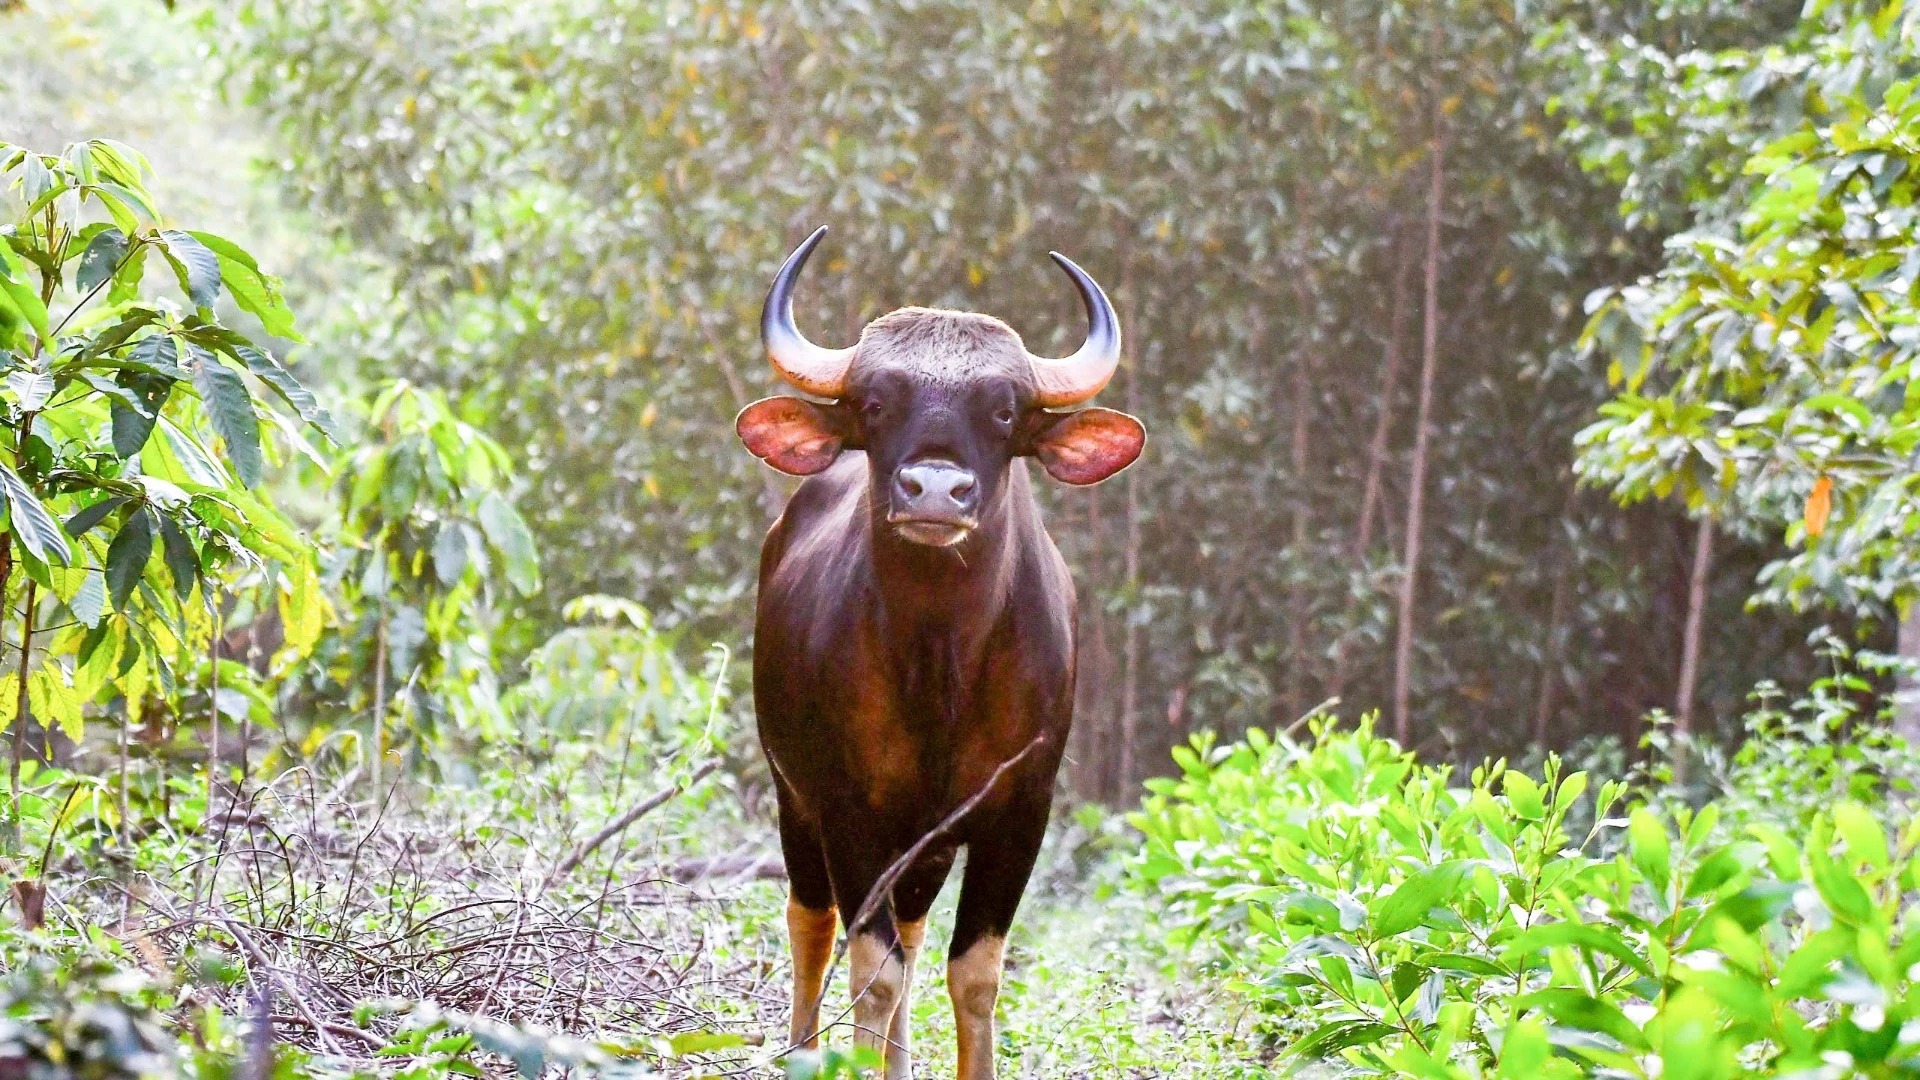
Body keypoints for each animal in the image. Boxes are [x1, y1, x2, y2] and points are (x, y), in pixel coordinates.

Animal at [737, 222, 1144, 1068]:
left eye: (1004, 411)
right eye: (875, 401)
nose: (933, 490)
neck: (941, 670)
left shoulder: (1020, 813)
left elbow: (974, 974)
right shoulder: (849, 812)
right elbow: (872, 971)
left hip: (923, 848)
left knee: (915, 933)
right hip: (794, 798)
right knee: (811, 923)